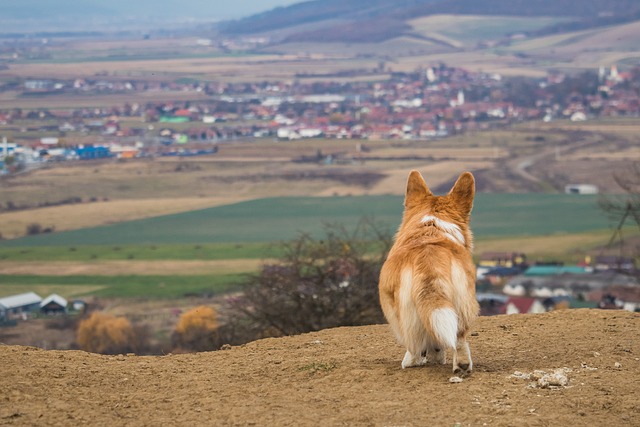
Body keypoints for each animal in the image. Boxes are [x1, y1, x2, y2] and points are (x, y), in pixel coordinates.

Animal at [378, 171, 478, 374]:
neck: (432, 225)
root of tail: (429, 259)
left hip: (404, 310)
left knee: (414, 341)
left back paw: (411, 361)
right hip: (461, 301)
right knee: (459, 336)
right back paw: (461, 365)